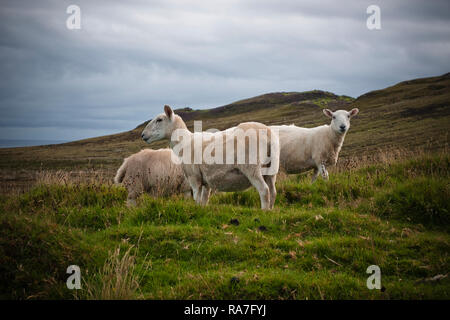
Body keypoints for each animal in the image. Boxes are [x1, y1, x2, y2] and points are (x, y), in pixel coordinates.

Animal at [142, 105, 280, 210]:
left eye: (159, 120)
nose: (143, 135)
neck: (184, 142)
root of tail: (268, 133)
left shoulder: (194, 177)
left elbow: (196, 198)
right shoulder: (206, 180)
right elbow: (204, 199)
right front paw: (202, 210)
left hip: (251, 167)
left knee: (264, 190)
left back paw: (264, 211)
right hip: (271, 169)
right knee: (273, 192)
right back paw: (270, 211)